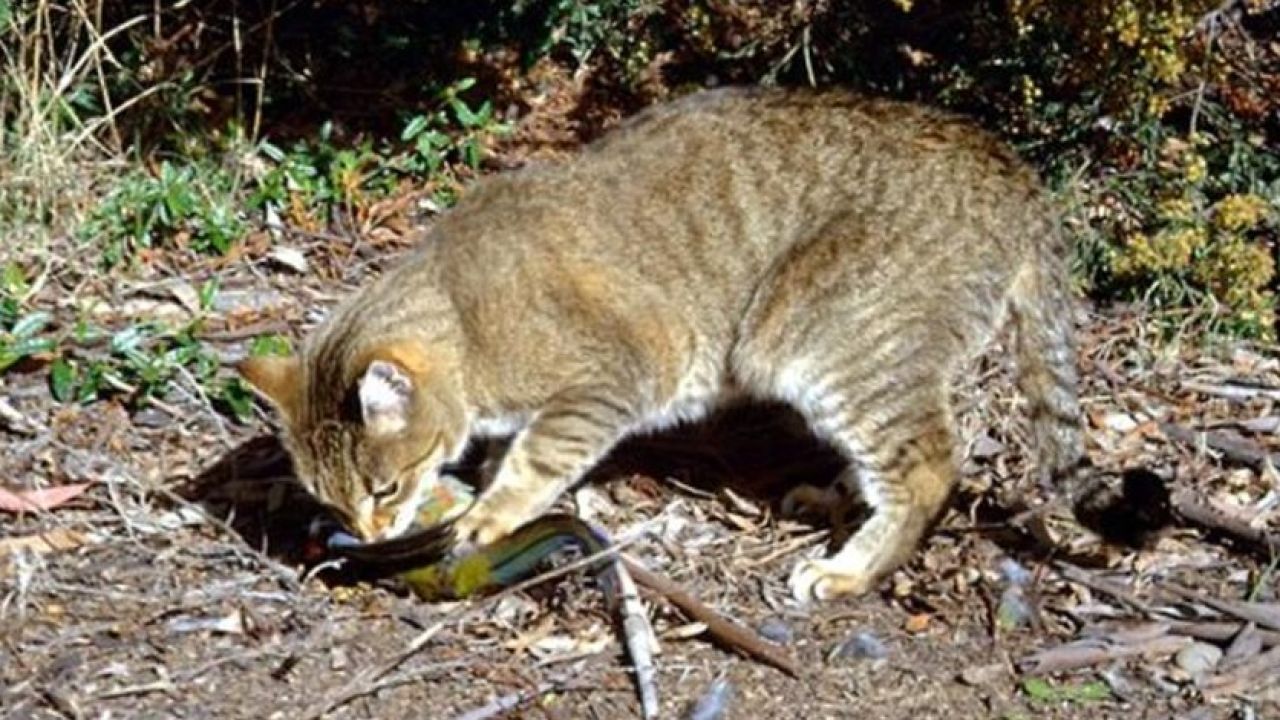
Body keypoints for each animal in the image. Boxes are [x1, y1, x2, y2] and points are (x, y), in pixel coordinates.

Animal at [239, 86, 1084, 601]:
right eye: (331, 499)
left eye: (382, 490)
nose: (370, 532)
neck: (463, 312)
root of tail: (1015, 173)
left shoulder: (616, 376)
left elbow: (537, 456)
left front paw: (490, 512)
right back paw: (838, 493)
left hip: (821, 341)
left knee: (930, 463)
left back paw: (848, 571)